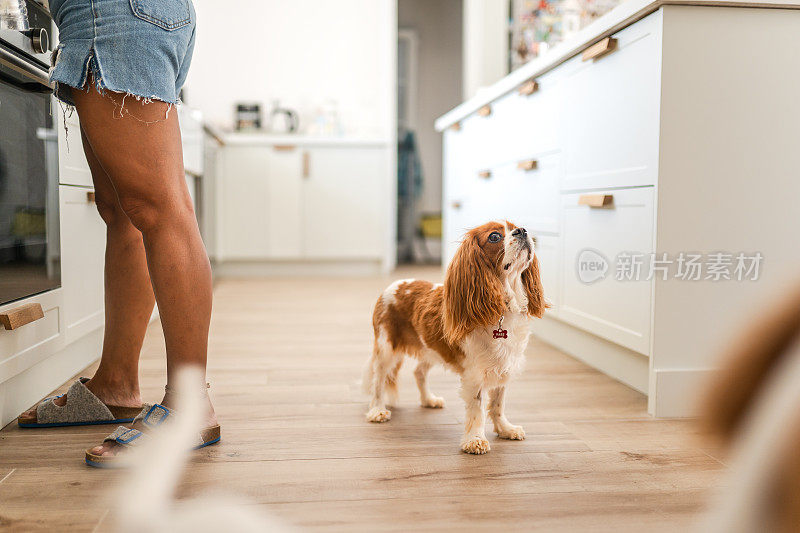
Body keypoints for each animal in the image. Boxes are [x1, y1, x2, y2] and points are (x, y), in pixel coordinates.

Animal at [364, 220, 548, 454]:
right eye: (495, 236)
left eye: (517, 226)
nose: (523, 231)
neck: (503, 305)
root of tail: (394, 285)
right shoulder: (474, 374)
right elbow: (477, 409)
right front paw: (475, 440)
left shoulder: (503, 366)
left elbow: (498, 403)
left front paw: (505, 429)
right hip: (386, 348)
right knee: (378, 380)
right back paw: (377, 410)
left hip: (430, 349)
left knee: (418, 372)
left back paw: (428, 400)